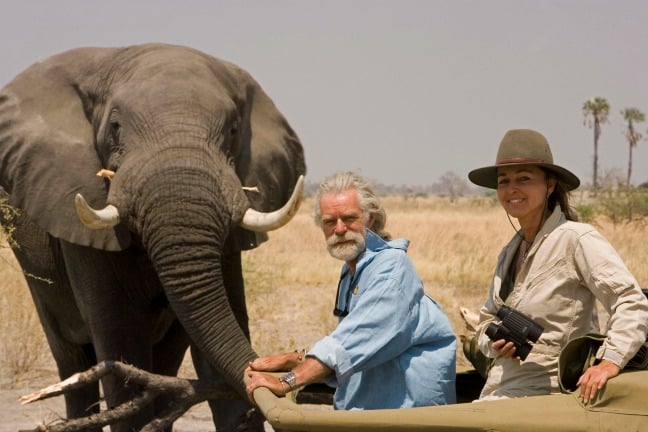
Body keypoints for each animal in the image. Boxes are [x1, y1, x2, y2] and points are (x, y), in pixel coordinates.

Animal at [0, 44, 306, 432]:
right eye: (115, 128)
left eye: (234, 130)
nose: (290, 361)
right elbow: (122, 341)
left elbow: (221, 329)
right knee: (72, 360)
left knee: (164, 362)